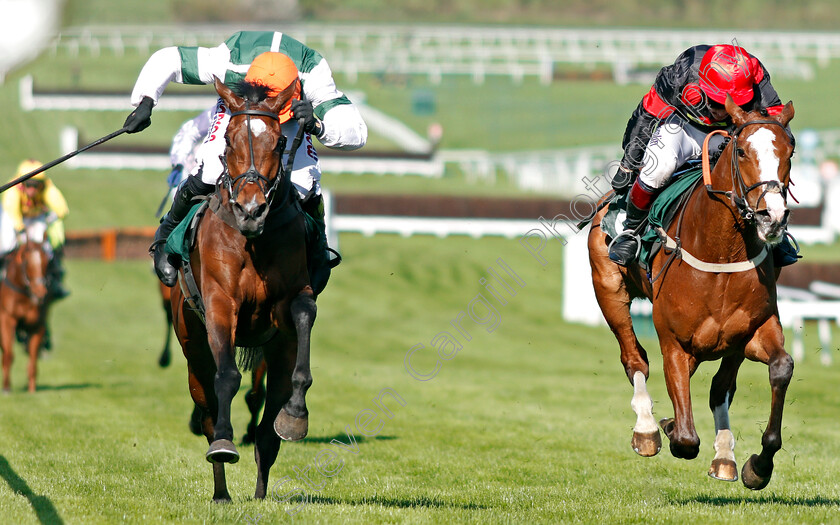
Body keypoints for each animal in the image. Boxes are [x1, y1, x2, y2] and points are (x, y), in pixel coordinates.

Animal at [0, 235, 51, 390]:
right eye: (27, 261)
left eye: (47, 261)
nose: (40, 292)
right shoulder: (6, 319)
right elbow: (8, 355)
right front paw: (6, 387)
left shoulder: (37, 324)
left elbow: (33, 357)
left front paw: (32, 389)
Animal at [169, 77, 316, 500]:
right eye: (229, 139)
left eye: (280, 143)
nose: (252, 210)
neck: (253, 240)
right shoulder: (220, 302)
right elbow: (227, 377)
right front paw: (224, 443)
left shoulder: (291, 298)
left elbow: (303, 314)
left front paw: (296, 415)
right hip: (192, 349)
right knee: (206, 408)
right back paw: (221, 490)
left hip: (277, 351)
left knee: (268, 426)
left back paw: (261, 490)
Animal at [588, 95, 796, 492]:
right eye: (742, 151)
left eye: (789, 151)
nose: (772, 216)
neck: (721, 251)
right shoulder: (674, 342)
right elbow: (685, 438)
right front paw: (667, 427)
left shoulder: (754, 331)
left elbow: (781, 367)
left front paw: (757, 466)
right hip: (609, 288)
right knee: (635, 359)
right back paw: (647, 429)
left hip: (728, 346)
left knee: (720, 386)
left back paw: (724, 455)